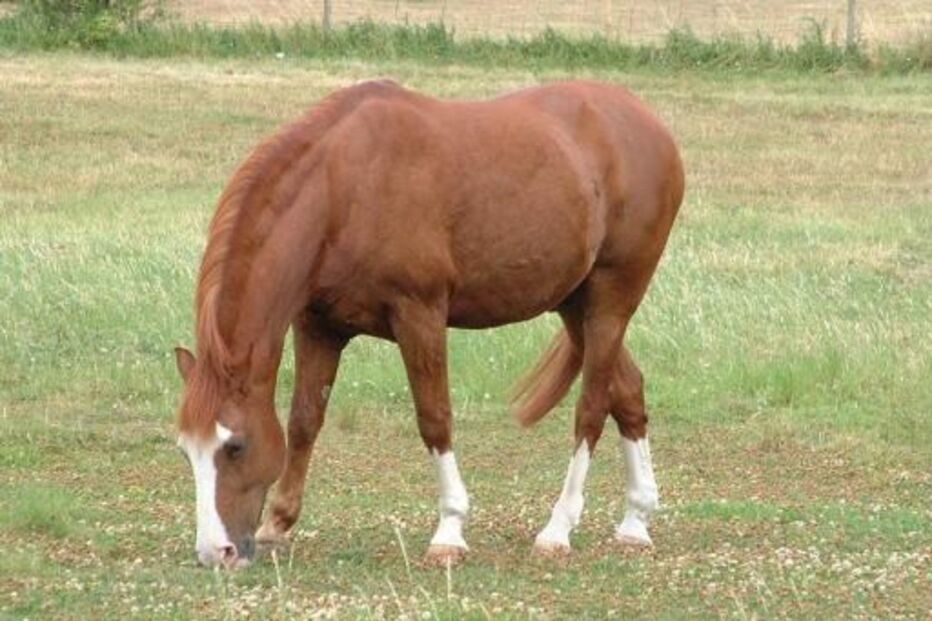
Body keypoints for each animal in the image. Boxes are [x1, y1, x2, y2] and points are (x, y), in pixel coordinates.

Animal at [174, 79, 684, 568]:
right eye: (185, 450)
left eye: (235, 446)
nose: (215, 553)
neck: (343, 189)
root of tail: (651, 126)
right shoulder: (318, 327)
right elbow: (304, 420)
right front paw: (278, 522)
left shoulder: (419, 315)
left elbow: (434, 418)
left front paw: (449, 532)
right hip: (575, 305)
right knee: (628, 391)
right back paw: (636, 521)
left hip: (611, 300)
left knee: (591, 408)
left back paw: (558, 529)